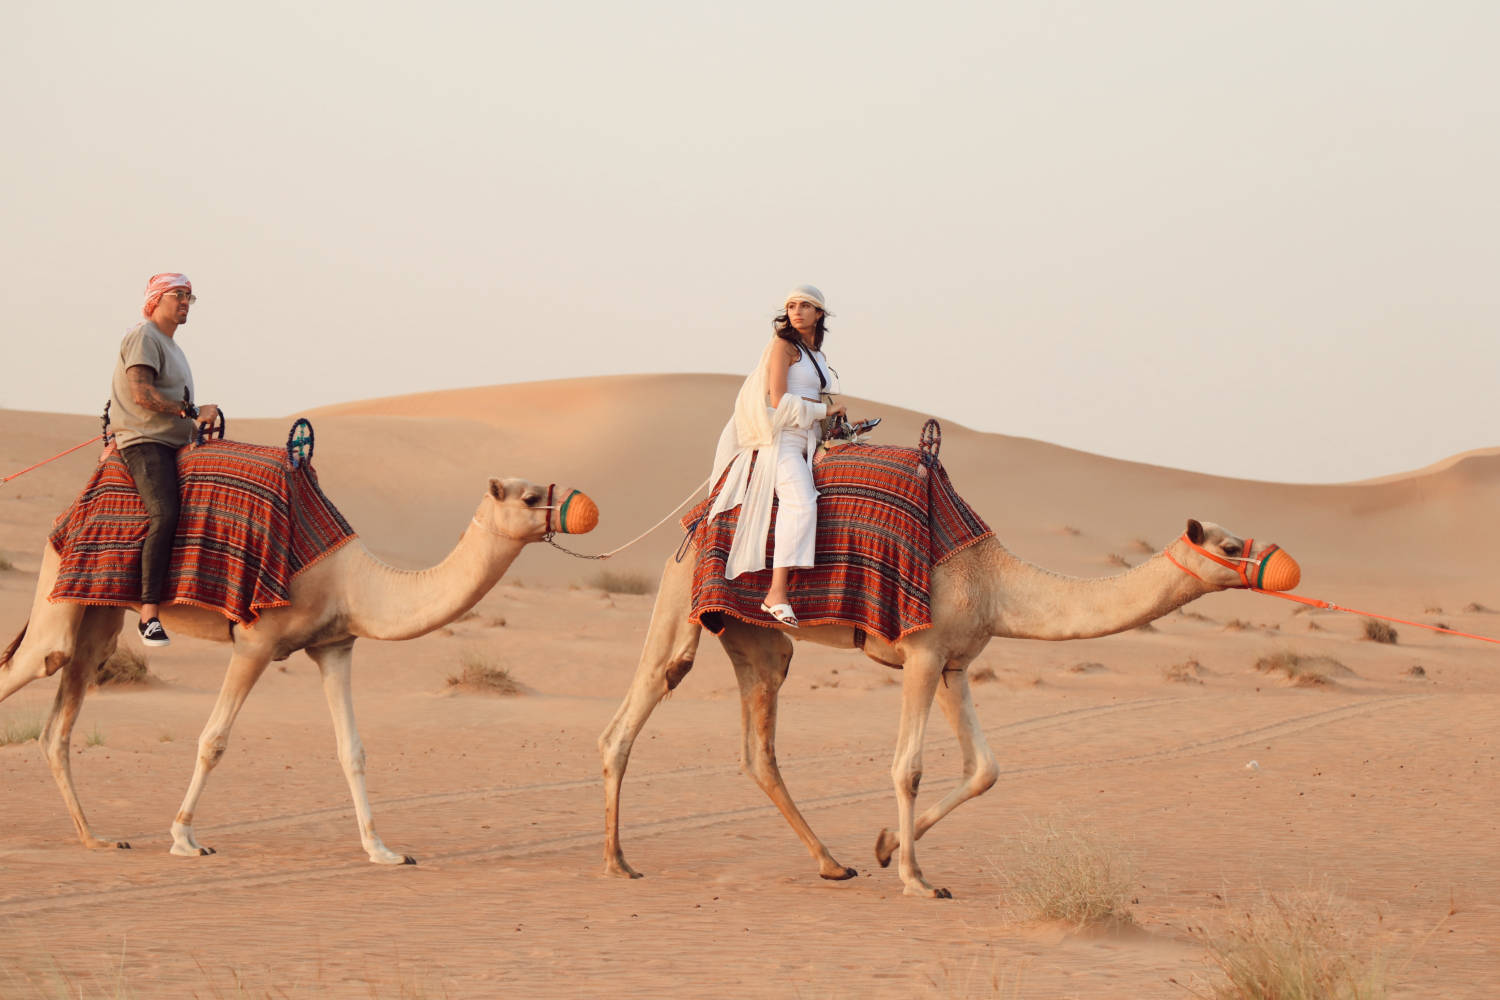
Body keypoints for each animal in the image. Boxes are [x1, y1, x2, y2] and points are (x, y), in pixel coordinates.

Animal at [0, 473, 597, 863]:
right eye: (529, 496)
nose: (585, 507)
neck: (352, 580)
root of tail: (66, 516)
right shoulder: (255, 641)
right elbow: (213, 740)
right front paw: (184, 839)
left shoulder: (335, 646)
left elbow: (352, 750)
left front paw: (383, 849)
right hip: (59, 598)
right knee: (37, 662)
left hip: (98, 614)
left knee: (58, 722)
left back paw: (96, 839)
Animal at [603, 515, 1296, 899]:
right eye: (1229, 546)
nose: (1276, 564)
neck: (995, 582)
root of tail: (694, 525)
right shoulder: (923, 652)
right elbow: (907, 767)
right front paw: (917, 879)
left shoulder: (955, 664)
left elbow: (985, 769)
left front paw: (886, 847)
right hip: (681, 600)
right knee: (631, 716)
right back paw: (617, 863)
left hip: (755, 636)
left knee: (758, 749)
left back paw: (834, 865)